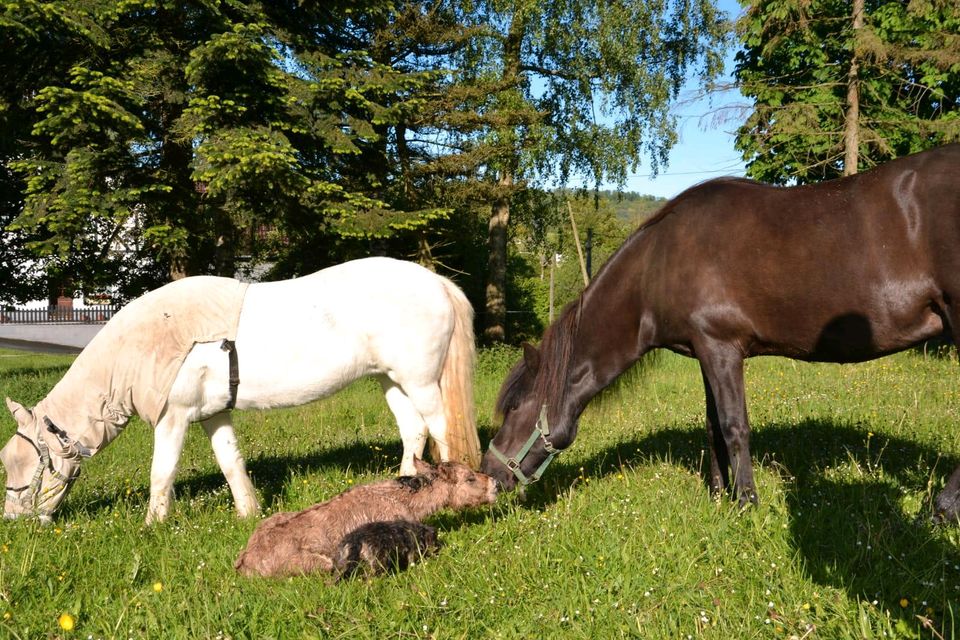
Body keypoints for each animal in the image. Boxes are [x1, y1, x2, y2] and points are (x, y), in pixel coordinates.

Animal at [0, 258, 480, 524]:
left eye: (24, 463)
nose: (14, 520)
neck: (147, 342)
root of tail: (437, 282)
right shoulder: (213, 414)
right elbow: (231, 462)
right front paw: (248, 512)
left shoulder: (173, 417)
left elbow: (162, 473)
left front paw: (153, 524)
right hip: (391, 379)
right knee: (413, 430)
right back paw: (405, 486)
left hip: (420, 380)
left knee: (440, 428)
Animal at [484, 144, 960, 520]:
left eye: (514, 408)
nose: (488, 474)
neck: (659, 263)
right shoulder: (704, 352)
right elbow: (713, 425)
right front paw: (718, 495)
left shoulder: (722, 349)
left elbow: (734, 425)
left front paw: (746, 502)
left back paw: (940, 511)